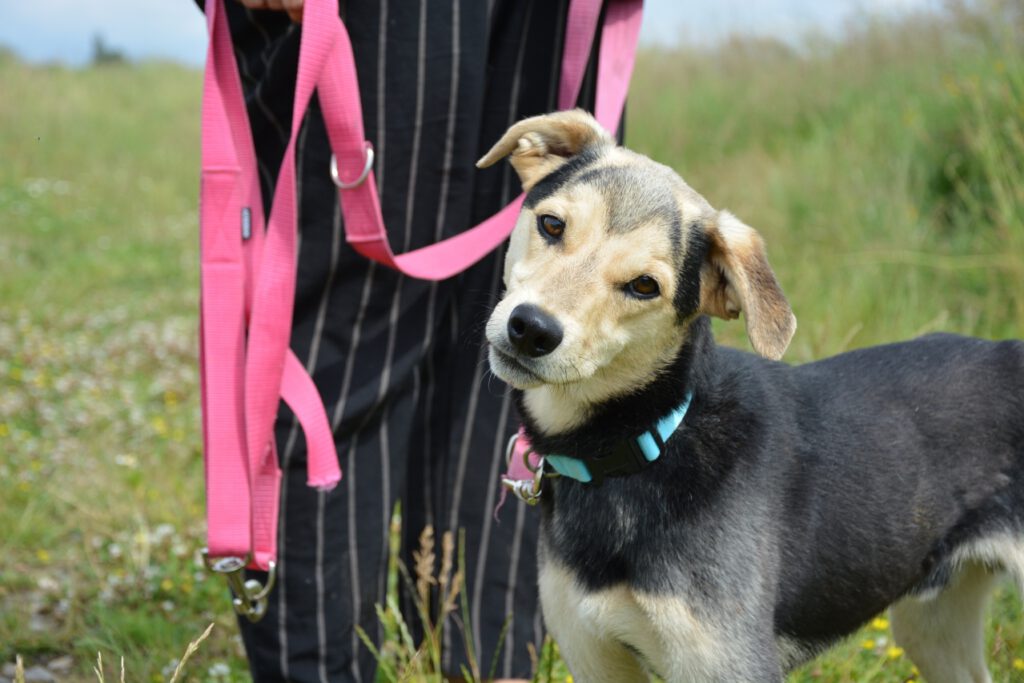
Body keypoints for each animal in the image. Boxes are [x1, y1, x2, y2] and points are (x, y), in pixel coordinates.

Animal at [475, 109, 1019, 679]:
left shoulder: (728, 661)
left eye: (645, 286)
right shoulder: (594, 656)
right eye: (552, 225)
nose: (531, 330)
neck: (649, 442)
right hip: (931, 625)